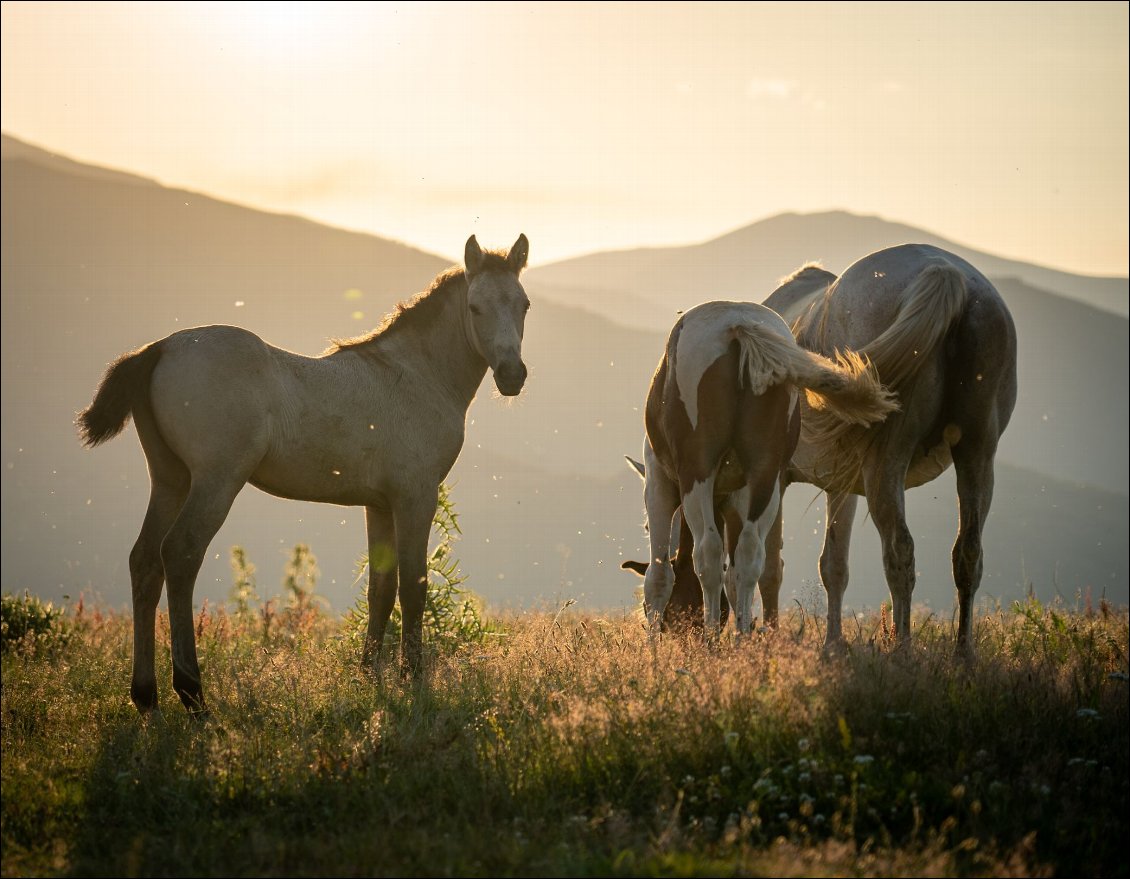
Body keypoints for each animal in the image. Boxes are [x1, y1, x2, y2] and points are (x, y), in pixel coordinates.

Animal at [623, 300, 894, 628]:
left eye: (645, 526)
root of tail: (737, 324)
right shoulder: (737, 500)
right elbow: (734, 575)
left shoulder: (658, 487)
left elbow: (659, 577)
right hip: (767, 477)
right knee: (750, 555)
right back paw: (741, 633)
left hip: (697, 473)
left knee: (708, 554)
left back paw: (713, 632)